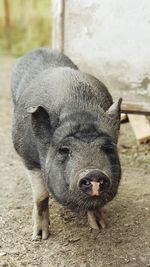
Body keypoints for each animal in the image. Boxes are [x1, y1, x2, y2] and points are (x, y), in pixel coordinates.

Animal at [11, 47, 122, 241]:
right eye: (63, 150)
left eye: (108, 148)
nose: (93, 172)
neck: (80, 110)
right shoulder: (27, 157)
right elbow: (41, 196)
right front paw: (40, 237)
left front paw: (100, 226)